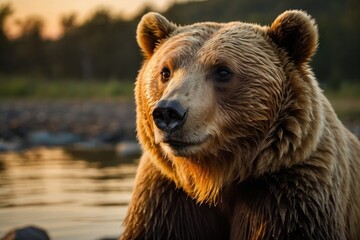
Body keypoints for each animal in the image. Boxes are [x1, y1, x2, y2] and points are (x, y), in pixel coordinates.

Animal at [121, 10, 360, 239]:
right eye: (165, 71)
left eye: (223, 71)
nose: (169, 112)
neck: (214, 175)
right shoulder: (166, 198)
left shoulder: (290, 194)